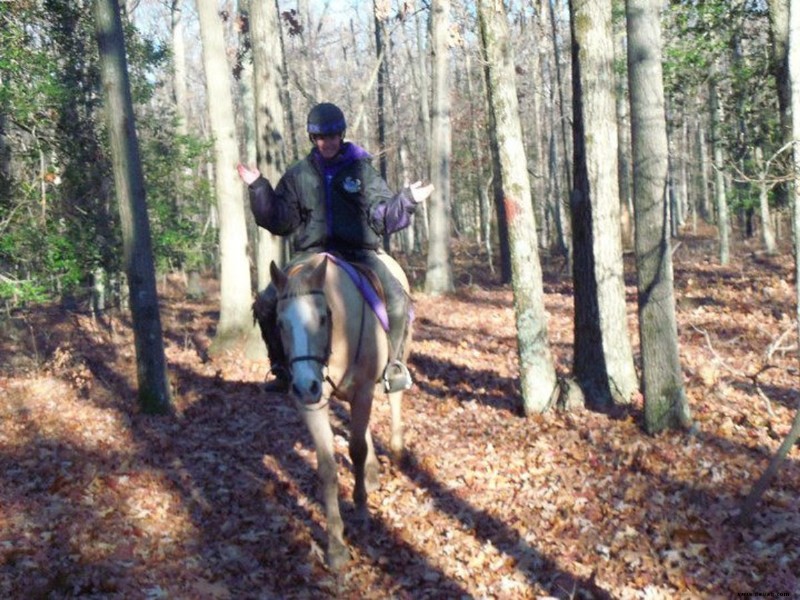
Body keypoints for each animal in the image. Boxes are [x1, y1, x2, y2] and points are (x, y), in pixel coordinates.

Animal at [268, 251, 410, 568]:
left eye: (322, 318)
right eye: (280, 323)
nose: (305, 385)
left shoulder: (364, 389)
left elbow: (356, 450)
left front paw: (361, 509)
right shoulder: (313, 403)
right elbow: (327, 468)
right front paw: (335, 546)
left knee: (394, 400)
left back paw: (395, 451)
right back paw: (372, 473)